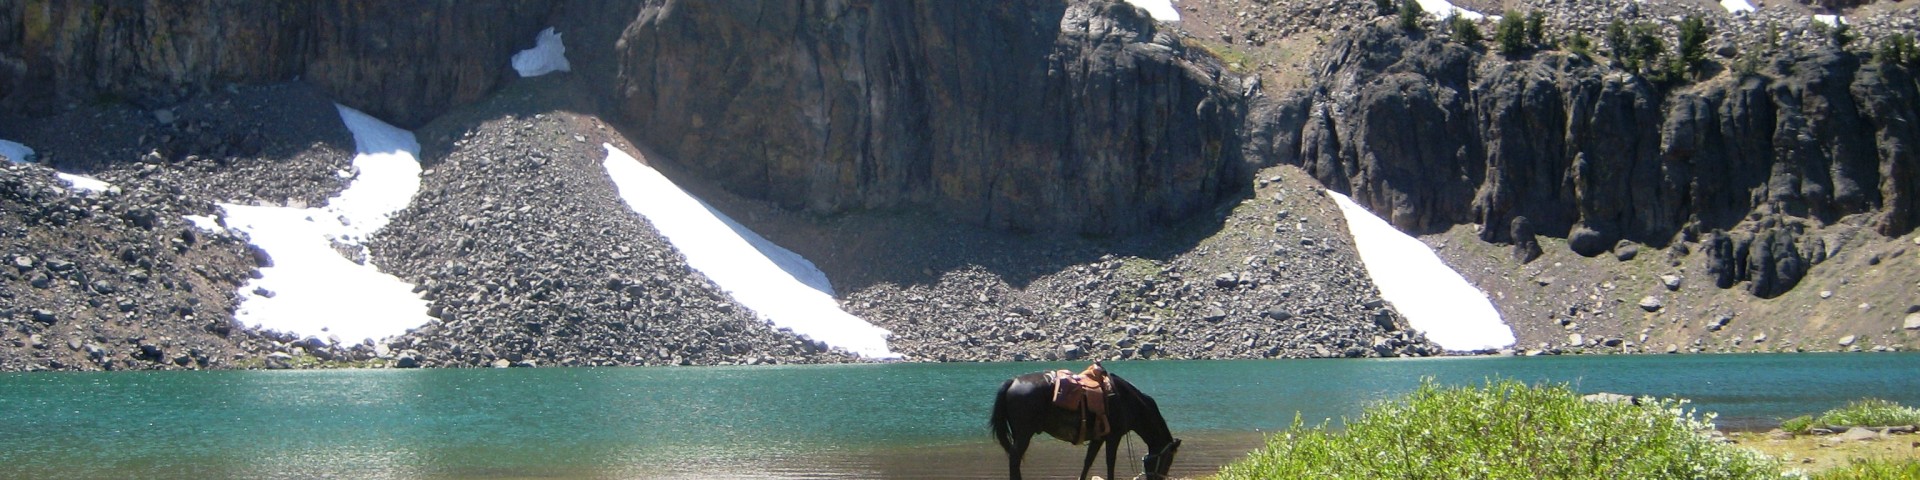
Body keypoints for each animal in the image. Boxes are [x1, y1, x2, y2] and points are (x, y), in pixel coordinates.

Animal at [990, 369, 1181, 480]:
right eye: (1169, 459)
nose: (1157, 479)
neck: (1127, 401)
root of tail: (1012, 382)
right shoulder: (1113, 436)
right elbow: (1110, 462)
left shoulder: (1098, 437)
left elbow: (1088, 461)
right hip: (1024, 434)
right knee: (1015, 458)